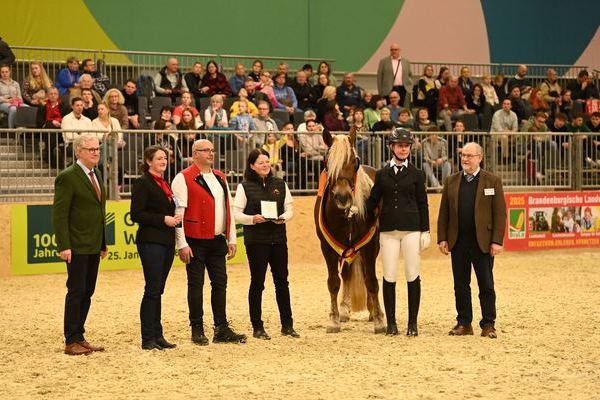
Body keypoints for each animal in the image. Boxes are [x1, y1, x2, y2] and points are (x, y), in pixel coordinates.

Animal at [314, 126, 384, 332]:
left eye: (354, 162)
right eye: (327, 163)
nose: (342, 197)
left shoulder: (370, 246)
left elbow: (372, 281)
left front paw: (379, 319)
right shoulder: (327, 247)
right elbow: (333, 282)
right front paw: (334, 320)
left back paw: (372, 310)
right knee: (345, 275)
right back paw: (344, 310)